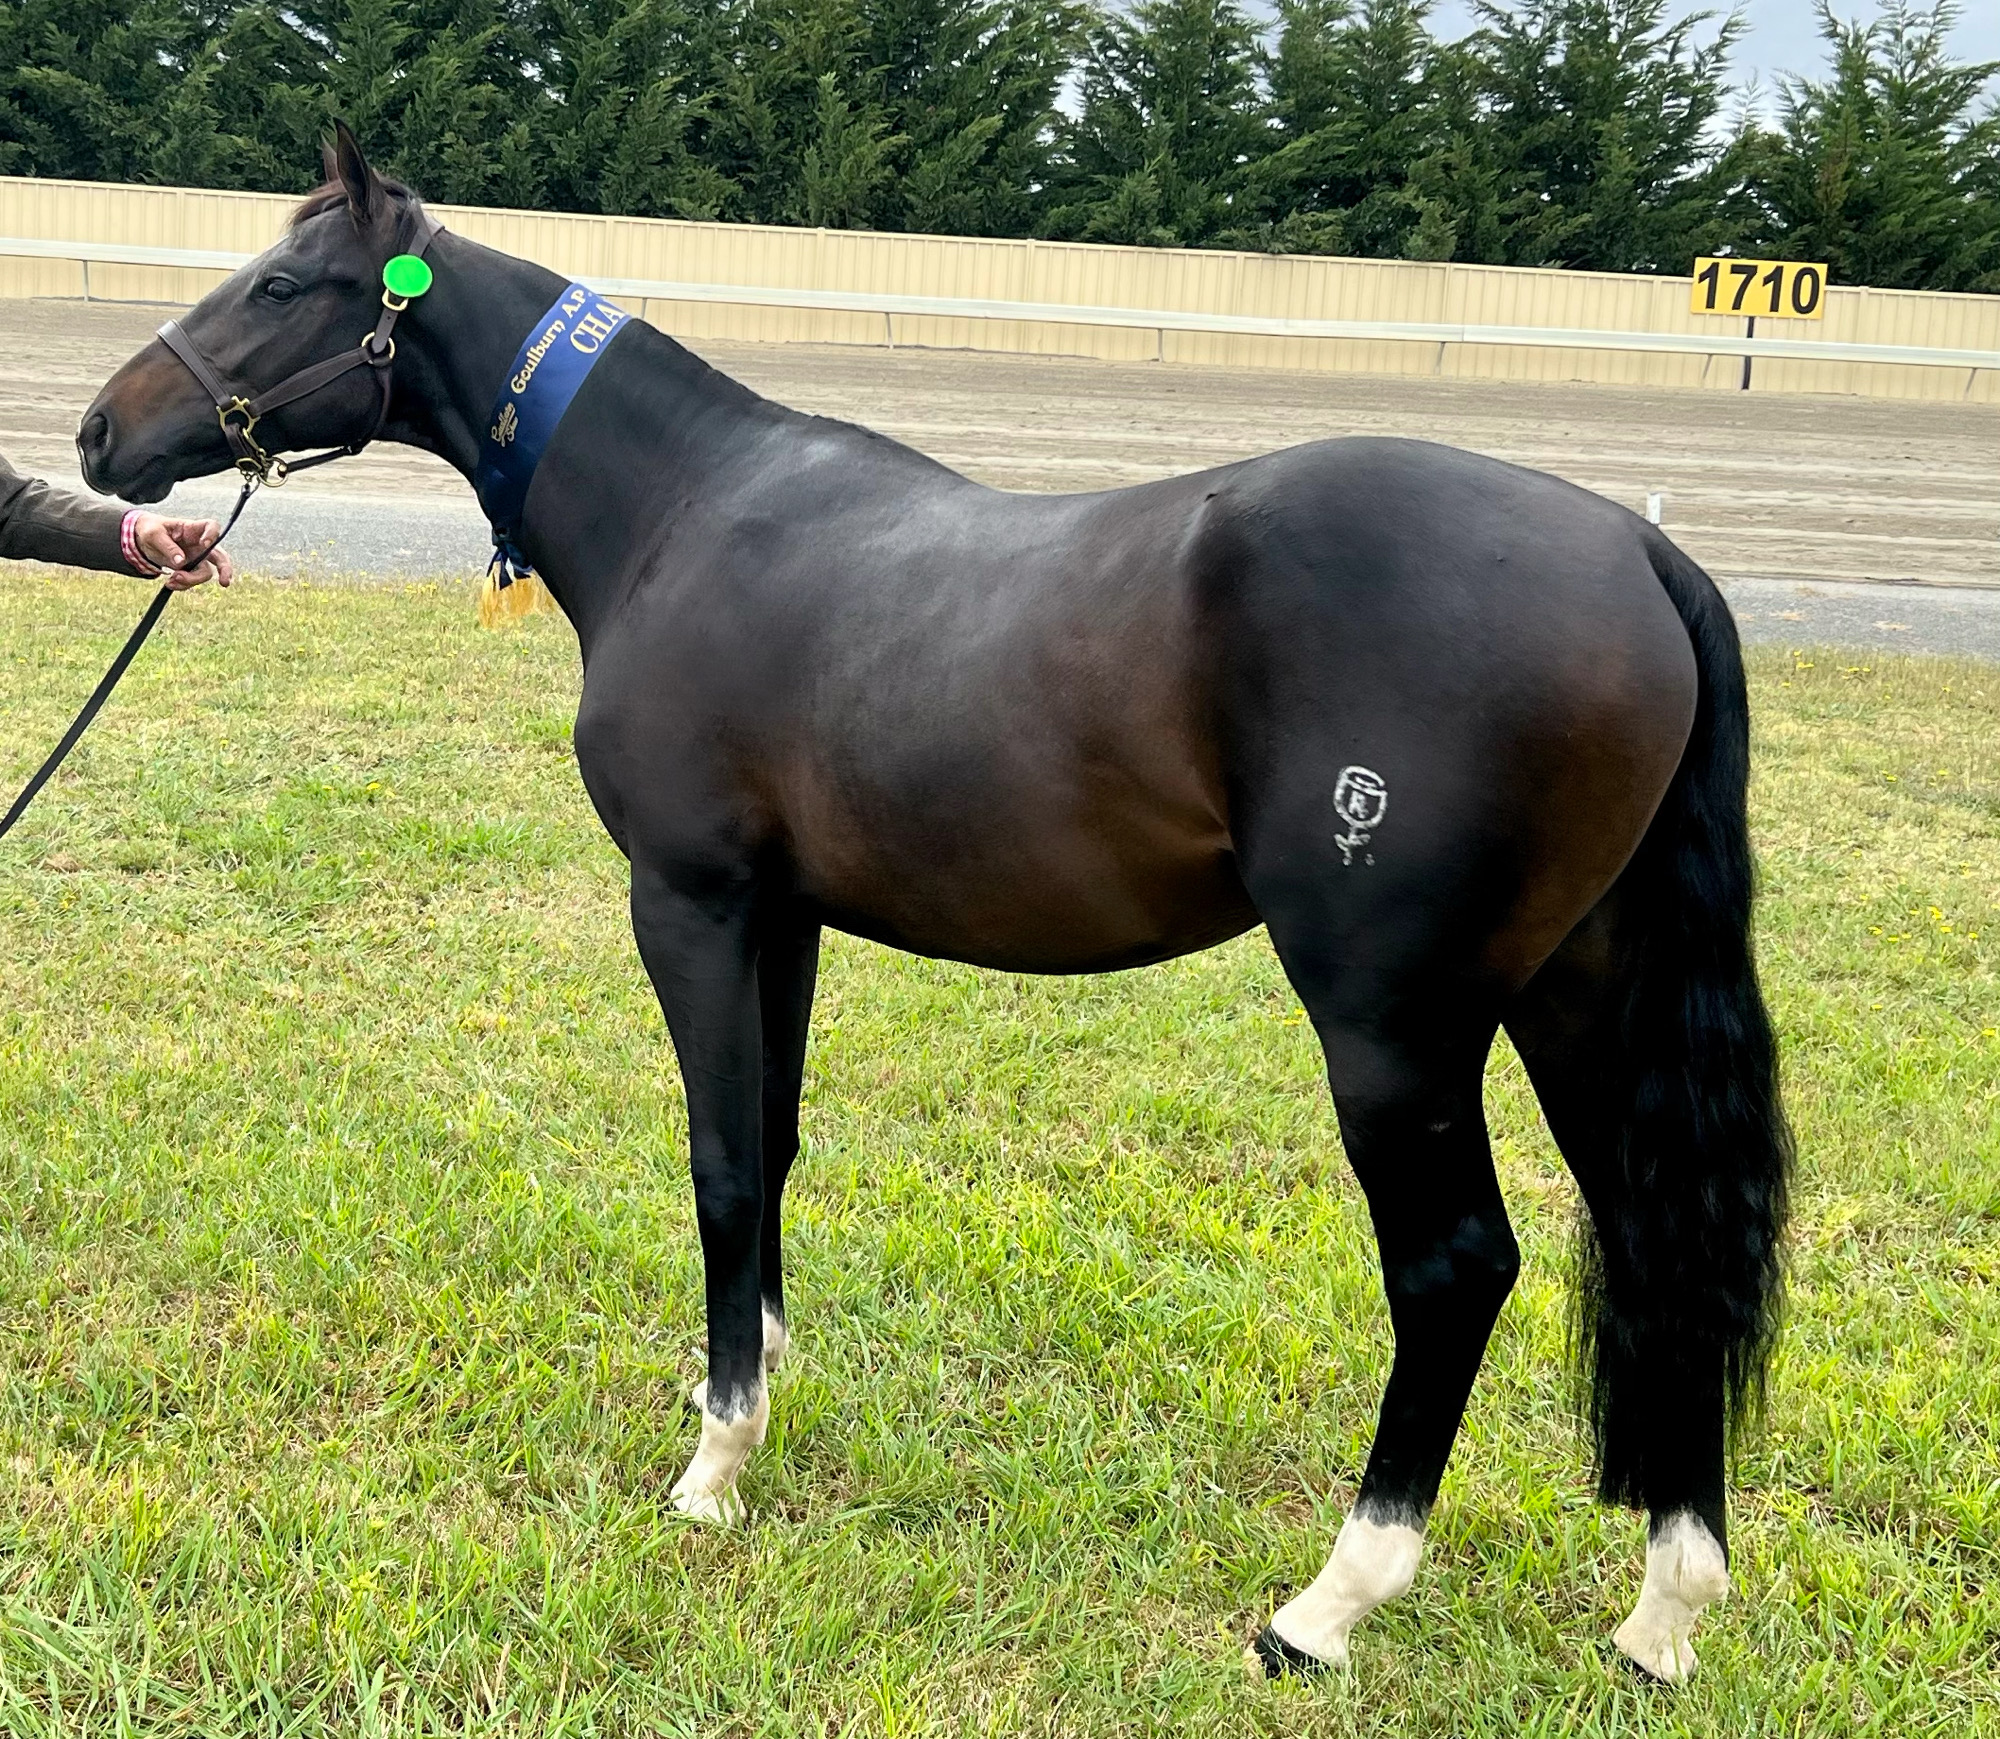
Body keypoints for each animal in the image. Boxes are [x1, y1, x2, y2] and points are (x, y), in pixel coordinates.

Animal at [78, 125, 1791, 1684]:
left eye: (282, 283)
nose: (101, 431)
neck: (688, 510)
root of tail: (1638, 553)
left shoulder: (689, 904)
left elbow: (717, 1160)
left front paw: (713, 1466)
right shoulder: (784, 919)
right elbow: (770, 1143)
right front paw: (752, 1382)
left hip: (1397, 1031)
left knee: (1454, 1269)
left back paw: (1328, 1604)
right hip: (1578, 992)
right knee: (1661, 1235)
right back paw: (1663, 1612)